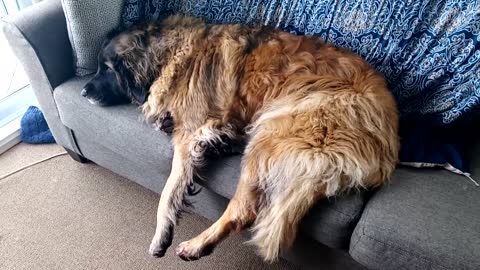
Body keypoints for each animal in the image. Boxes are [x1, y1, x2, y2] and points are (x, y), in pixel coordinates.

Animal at [83, 14, 402, 262]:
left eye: (106, 69)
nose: (84, 91)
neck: (172, 54)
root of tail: (388, 139)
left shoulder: (187, 138)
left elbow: (168, 191)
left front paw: (161, 234)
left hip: (270, 133)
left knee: (243, 209)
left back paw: (197, 245)